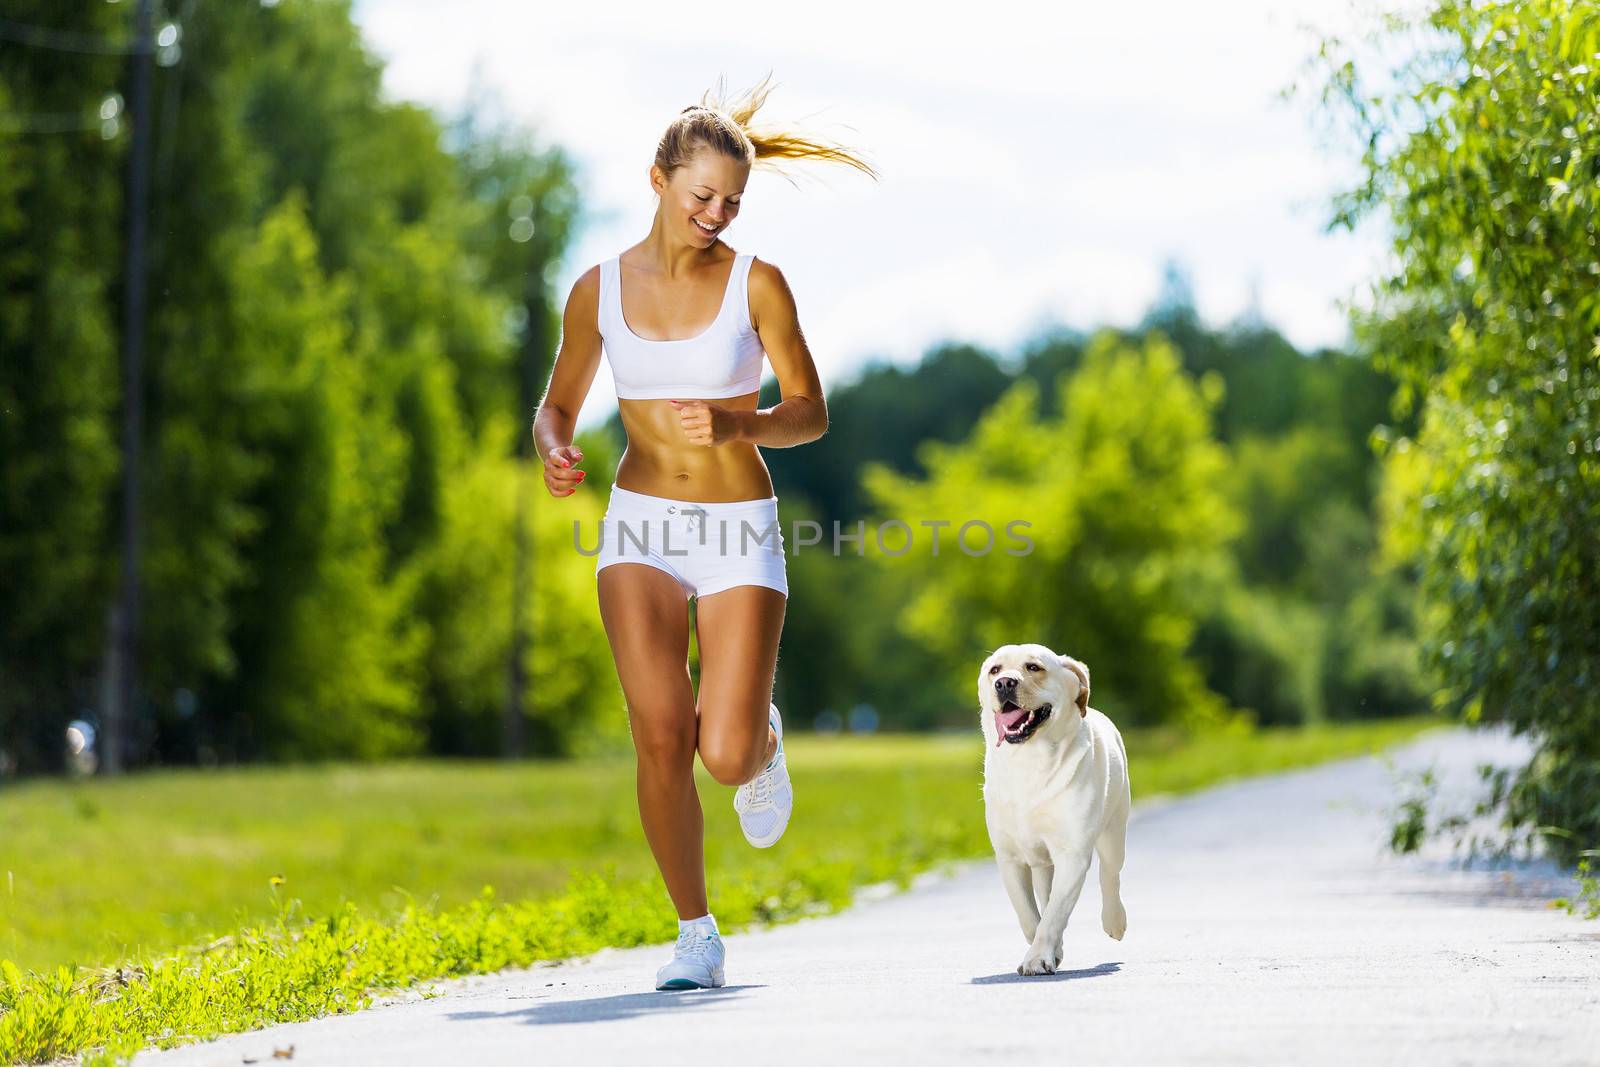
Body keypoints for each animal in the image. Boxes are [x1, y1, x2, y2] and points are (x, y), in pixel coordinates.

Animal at [979, 643, 1132, 979]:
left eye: (1034, 667)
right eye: (995, 670)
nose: (1004, 683)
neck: (1029, 759)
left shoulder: (1072, 853)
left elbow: (1054, 913)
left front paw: (1038, 957)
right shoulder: (1010, 857)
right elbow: (1029, 913)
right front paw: (1049, 950)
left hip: (1114, 831)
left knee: (1110, 874)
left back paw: (1115, 921)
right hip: (1041, 862)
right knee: (1046, 891)